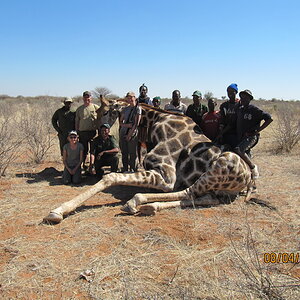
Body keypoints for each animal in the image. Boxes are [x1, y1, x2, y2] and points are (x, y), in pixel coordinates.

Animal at [43, 103, 252, 223]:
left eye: (107, 112)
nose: (97, 131)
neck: (155, 124)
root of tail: (248, 180)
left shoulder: (167, 176)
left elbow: (111, 177)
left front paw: (58, 210)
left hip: (223, 164)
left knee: (190, 192)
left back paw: (137, 202)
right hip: (218, 188)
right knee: (206, 197)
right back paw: (148, 206)